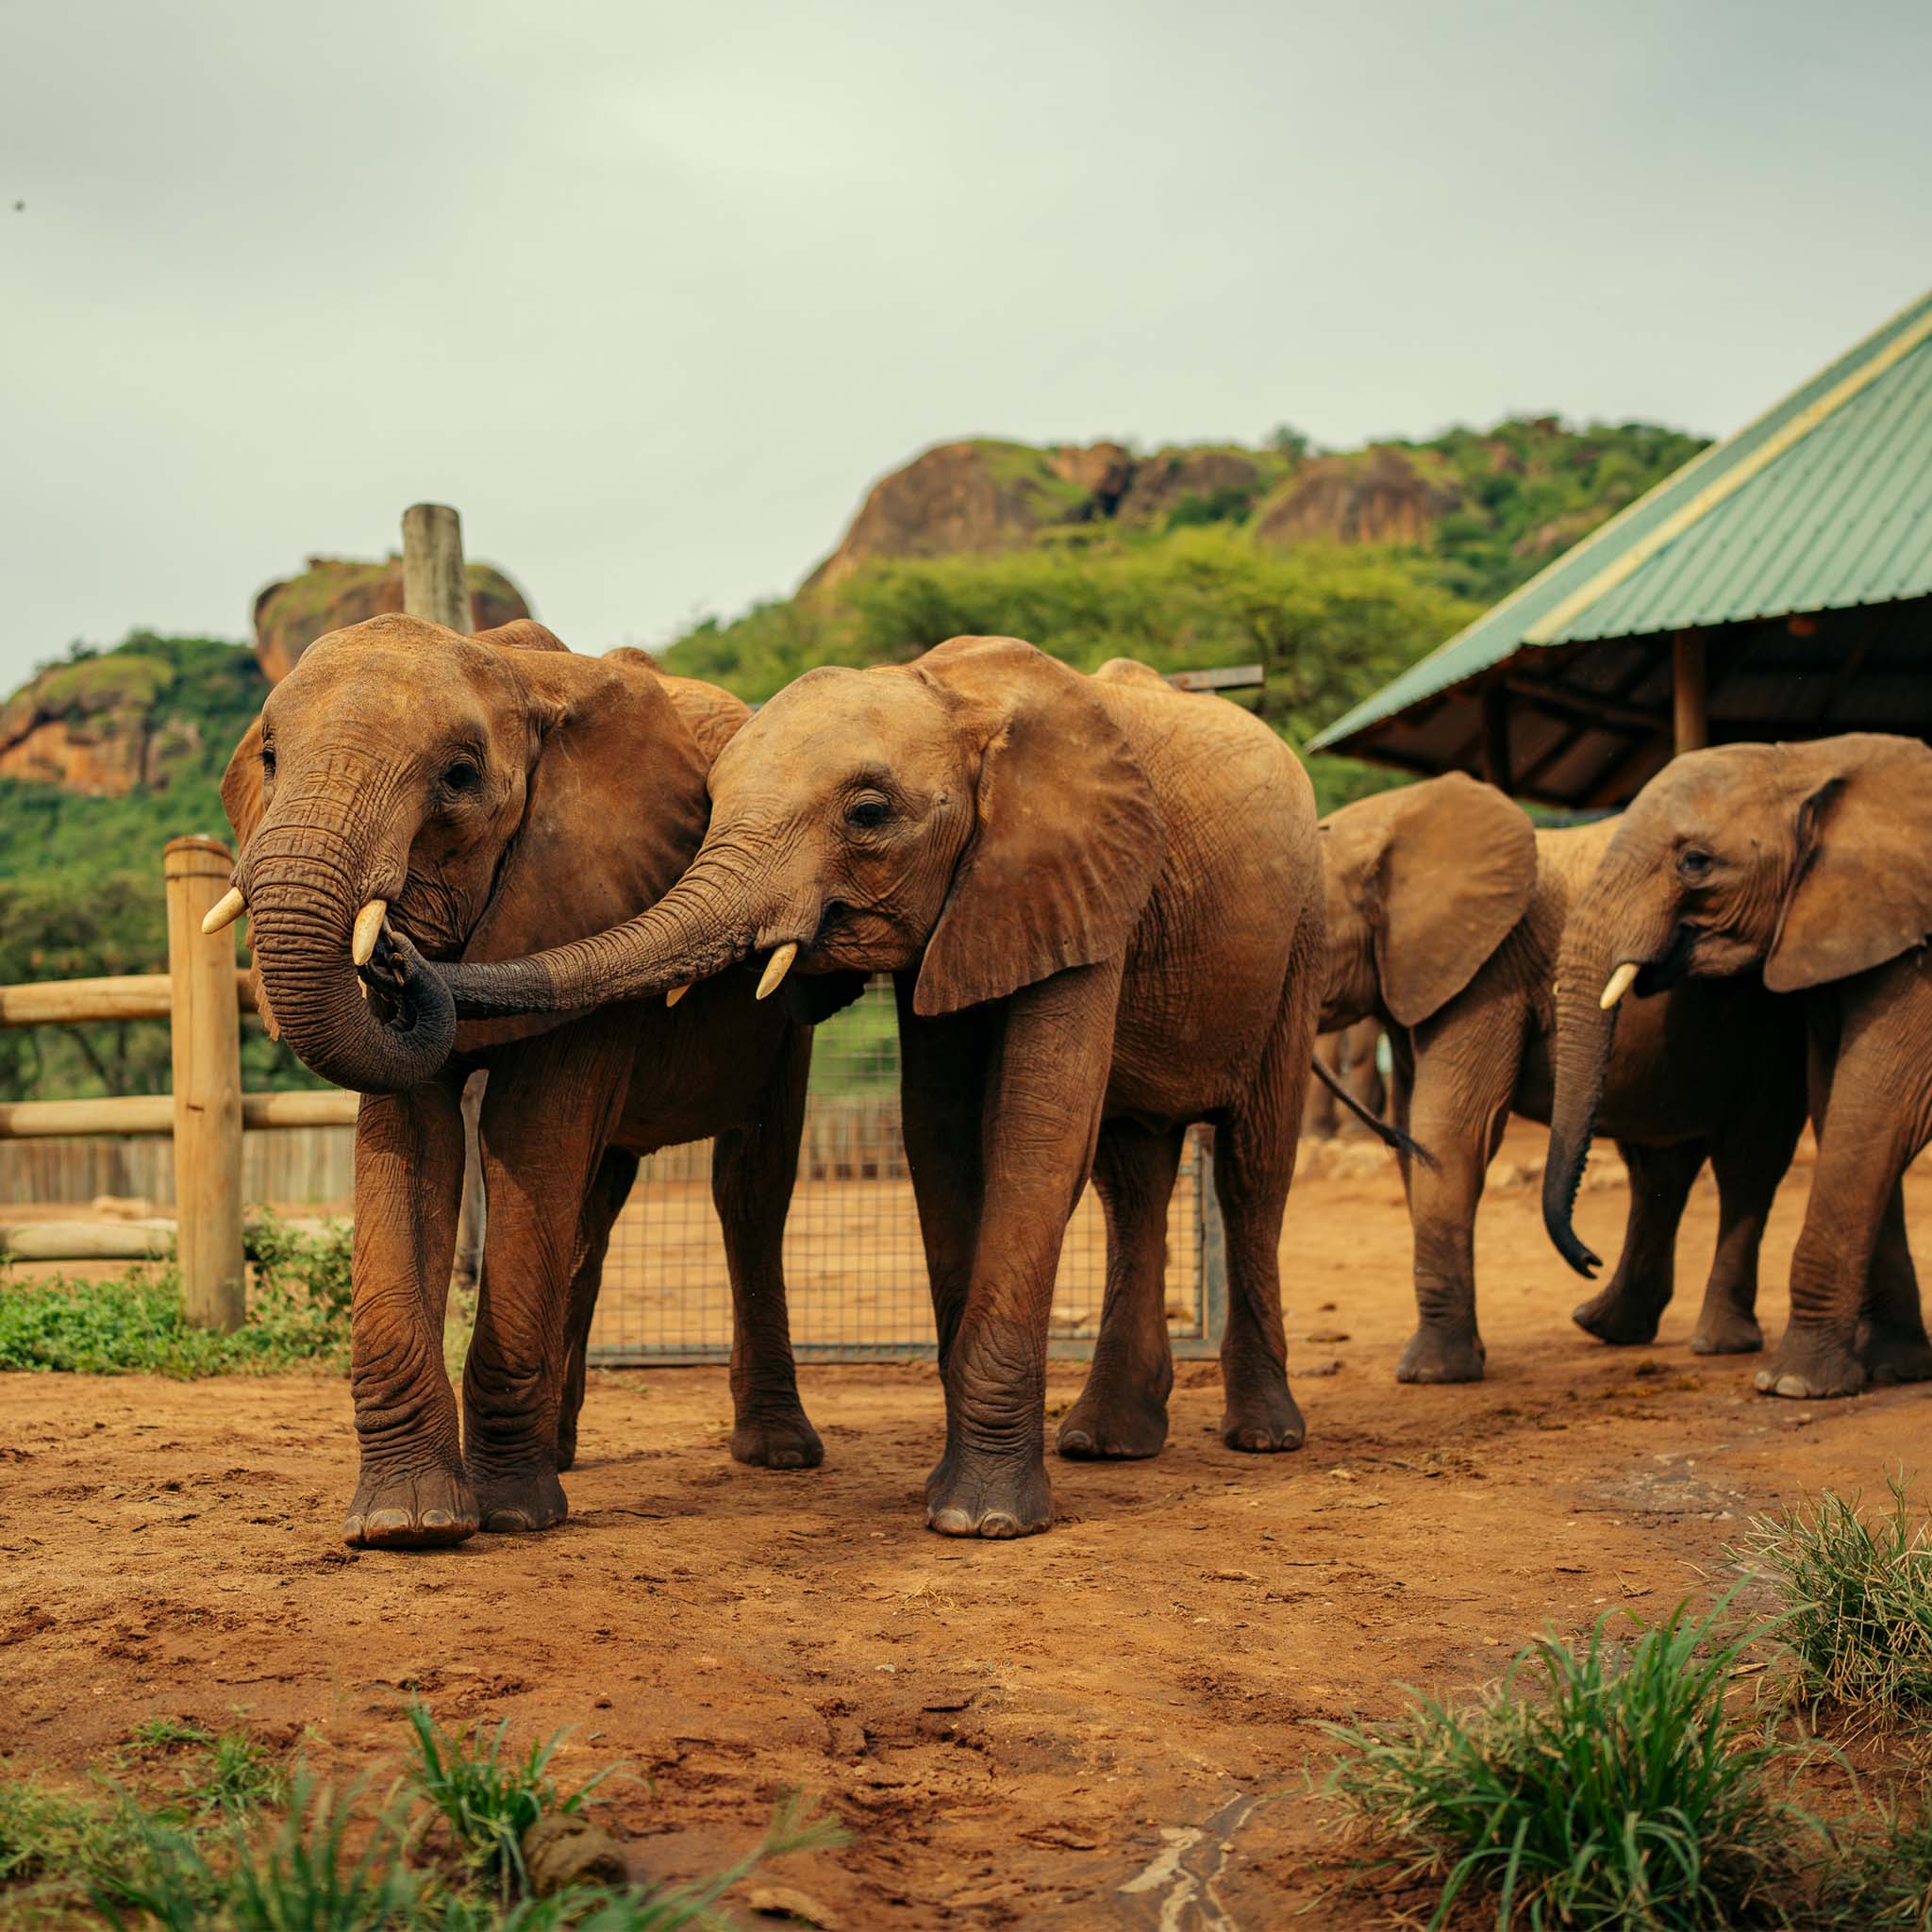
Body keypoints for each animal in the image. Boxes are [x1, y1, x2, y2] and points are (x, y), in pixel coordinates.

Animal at [214, 612, 823, 1548]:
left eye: (460, 778)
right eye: (271, 758)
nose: (395, 954)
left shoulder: (597, 890)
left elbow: (531, 1136)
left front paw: (510, 1516)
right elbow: (413, 1143)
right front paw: (407, 1524)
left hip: (785, 1006)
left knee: (750, 1187)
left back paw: (779, 1454)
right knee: (595, 1210)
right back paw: (563, 1453)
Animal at [365, 636, 1328, 1540]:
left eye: (869, 815)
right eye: (709, 803)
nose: (395, 955)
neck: (956, 696)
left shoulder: (1083, 880)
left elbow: (1036, 1134)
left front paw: (982, 1520)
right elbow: (941, 1140)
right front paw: (966, 1500)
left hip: (1302, 931)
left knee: (1253, 1168)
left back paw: (1261, 1436)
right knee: (1134, 1174)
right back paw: (1110, 1443)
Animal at [1319, 771, 1807, 1382]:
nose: (1587, 1257)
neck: (1389, 818)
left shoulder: (1490, 971)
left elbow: (1451, 1132)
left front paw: (1432, 1375)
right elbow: (1417, 1140)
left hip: (1773, 1017)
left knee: (1749, 1157)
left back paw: (1715, 1342)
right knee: (1660, 1167)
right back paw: (1606, 1325)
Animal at [1542, 732, 1932, 1402]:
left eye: (1696, 862)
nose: (1588, 1259)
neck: (1813, 759)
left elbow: (1879, 1107)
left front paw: (1792, 1384)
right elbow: (1841, 1107)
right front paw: (1895, 1369)